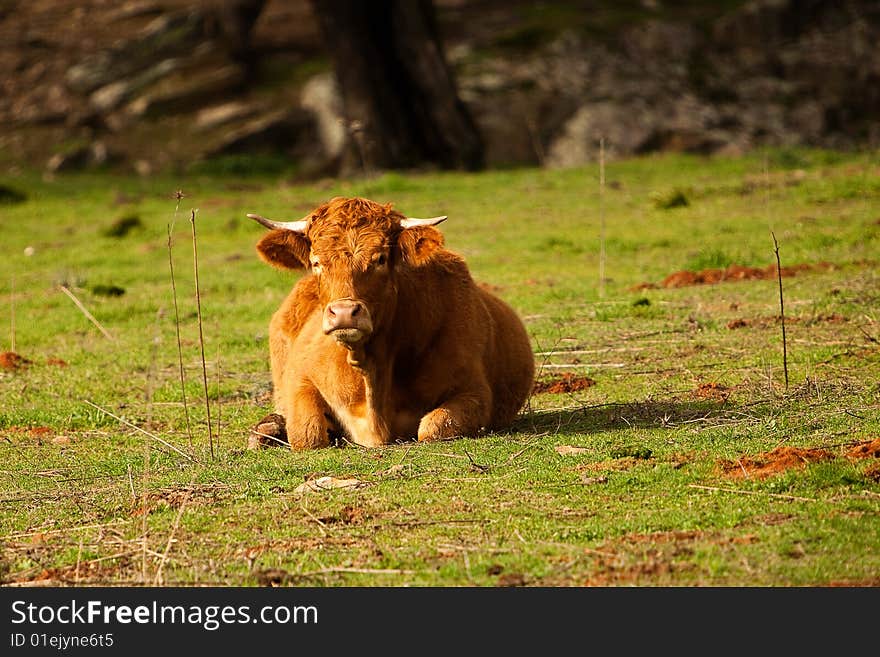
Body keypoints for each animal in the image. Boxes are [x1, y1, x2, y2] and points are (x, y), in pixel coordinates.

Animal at [249, 197, 536, 448]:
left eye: (380, 259)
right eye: (316, 262)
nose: (344, 312)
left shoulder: (475, 392)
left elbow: (431, 427)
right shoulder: (301, 378)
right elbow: (307, 434)